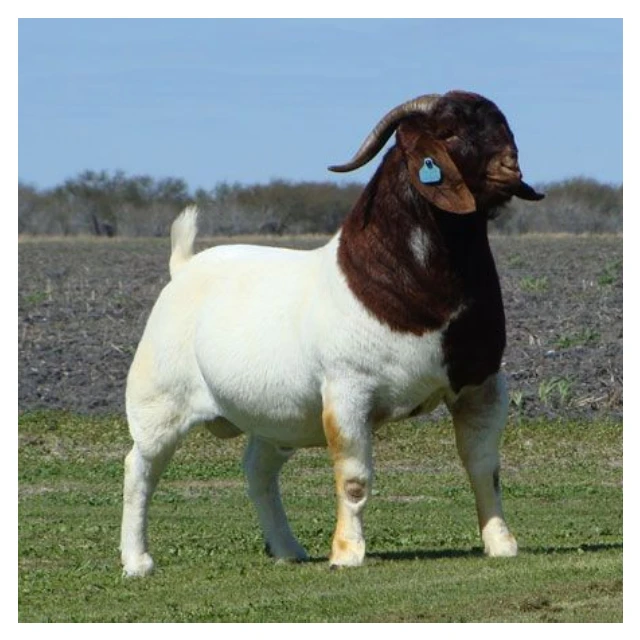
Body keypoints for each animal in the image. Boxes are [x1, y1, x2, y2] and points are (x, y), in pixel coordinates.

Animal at [120, 90, 544, 576]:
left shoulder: (481, 386)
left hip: (276, 420)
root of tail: (184, 267)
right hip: (159, 405)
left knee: (258, 471)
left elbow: (484, 469)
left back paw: (288, 549)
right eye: (449, 131)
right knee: (139, 469)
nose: (510, 169)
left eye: (501, 124)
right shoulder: (348, 393)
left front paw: (501, 543)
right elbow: (355, 478)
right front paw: (346, 553)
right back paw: (137, 561)